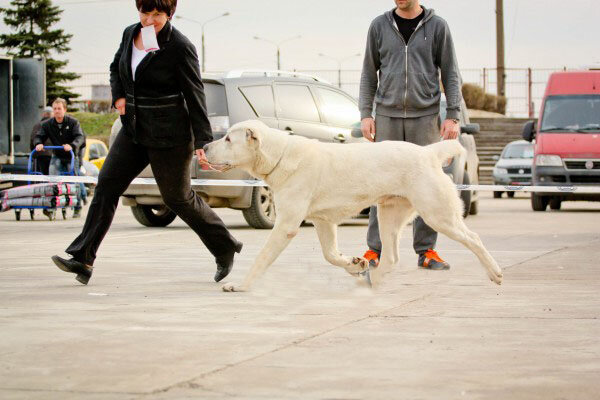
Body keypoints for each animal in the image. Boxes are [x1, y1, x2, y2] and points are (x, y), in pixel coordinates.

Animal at [204, 119, 504, 290]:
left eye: (228, 139)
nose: (205, 147)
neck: (279, 156)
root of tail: (428, 152)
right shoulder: (323, 222)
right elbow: (330, 254)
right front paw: (355, 264)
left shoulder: (286, 224)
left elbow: (262, 258)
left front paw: (241, 286)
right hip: (388, 215)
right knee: (392, 257)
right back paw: (374, 280)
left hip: (437, 213)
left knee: (474, 238)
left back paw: (495, 272)